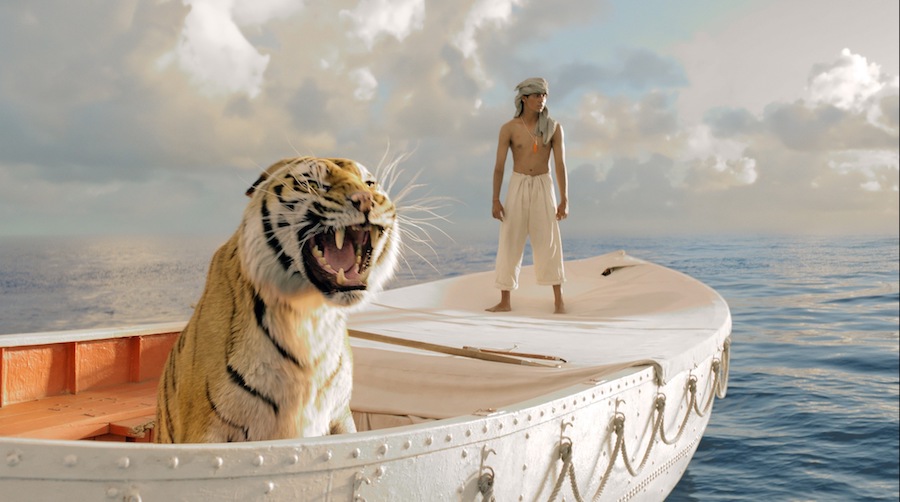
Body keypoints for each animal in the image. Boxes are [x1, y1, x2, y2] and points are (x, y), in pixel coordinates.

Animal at [155, 156, 400, 443]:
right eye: (313, 182)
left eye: (369, 183)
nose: (366, 200)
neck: (310, 315)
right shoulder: (205, 432)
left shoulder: (339, 414)